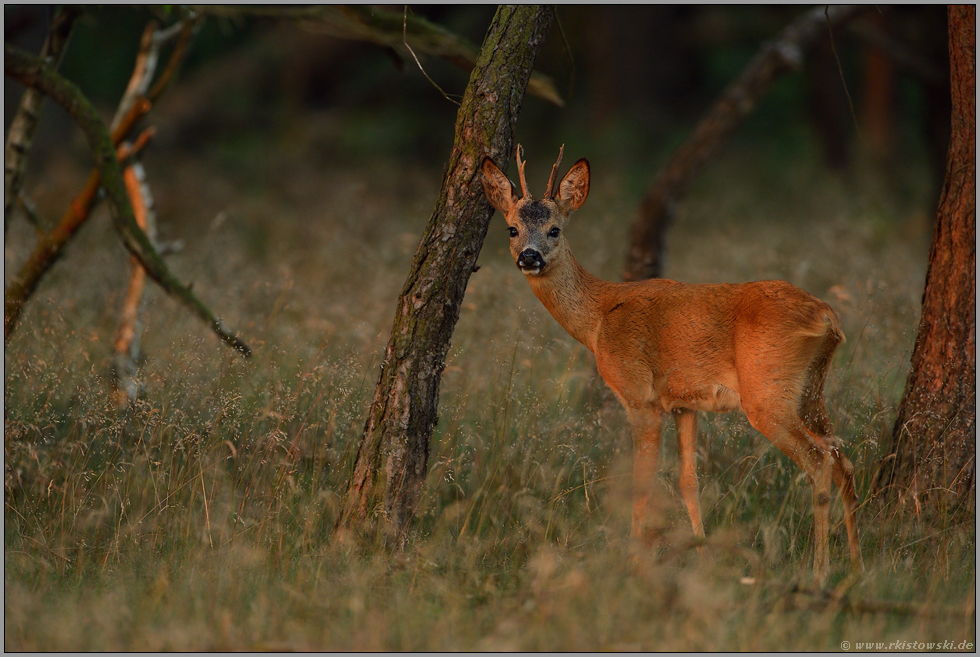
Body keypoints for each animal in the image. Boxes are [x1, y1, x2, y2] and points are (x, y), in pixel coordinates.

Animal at [482, 146, 864, 580]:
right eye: (512, 230)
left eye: (554, 230)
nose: (529, 257)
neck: (598, 319)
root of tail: (828, 319)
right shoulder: (684, 403)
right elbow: (688, 481)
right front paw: (702, 556)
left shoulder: (641, 397)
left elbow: (642, 484)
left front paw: (632, 563)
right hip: (811, 390)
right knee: (843, 458)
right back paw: (856, 565)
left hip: (767, 392)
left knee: (818, 460)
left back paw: (820, 569)